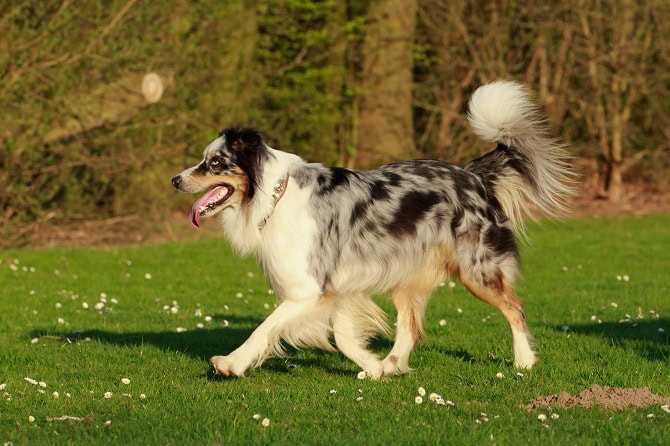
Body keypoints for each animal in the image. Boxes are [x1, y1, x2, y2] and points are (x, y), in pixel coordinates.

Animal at [173, 81, 576, 380]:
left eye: (214, 163)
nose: (176, 180)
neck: (275, 193)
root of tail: (471, 174)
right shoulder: (336, 287)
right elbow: (343, 336)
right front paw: (374, 367)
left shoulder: (308, 290)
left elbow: (264, 328)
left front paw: (231, 362)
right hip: (407, 274)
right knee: (410, 327)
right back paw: (393, 363)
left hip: (476, 269)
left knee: (514, 307)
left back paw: (524, 360)